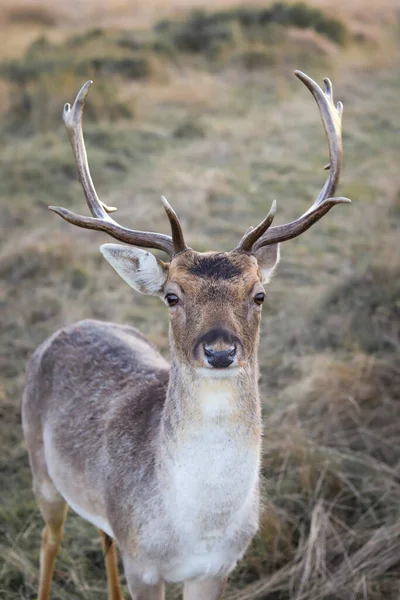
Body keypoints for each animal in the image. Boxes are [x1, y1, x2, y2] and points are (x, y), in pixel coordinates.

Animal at [22, 71, 350, 600]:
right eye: (172, 296)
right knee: (50, 541)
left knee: (103, 536)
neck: (197, 528)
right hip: (41, 470)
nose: (219, 350)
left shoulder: (219, 566)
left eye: (259, 294)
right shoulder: (143, 564)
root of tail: (71, 327)